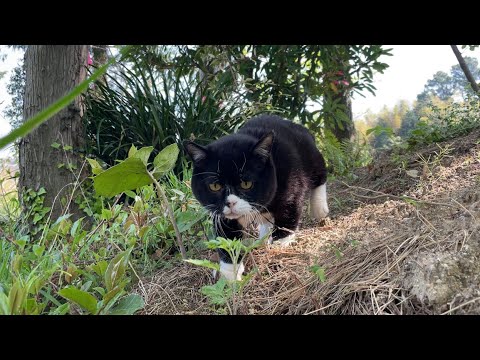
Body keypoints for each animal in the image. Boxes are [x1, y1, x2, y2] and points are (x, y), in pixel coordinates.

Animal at [185, 114, 330, 282]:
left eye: (246, 183)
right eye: (215, 186)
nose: (230, 202)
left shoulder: (292, 180)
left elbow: (288, 211)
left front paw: (280, 243)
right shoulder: (221, 215)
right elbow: (227, 240)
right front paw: (230, 275)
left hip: (310, 155)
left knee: (320, 174)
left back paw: (319, 208)